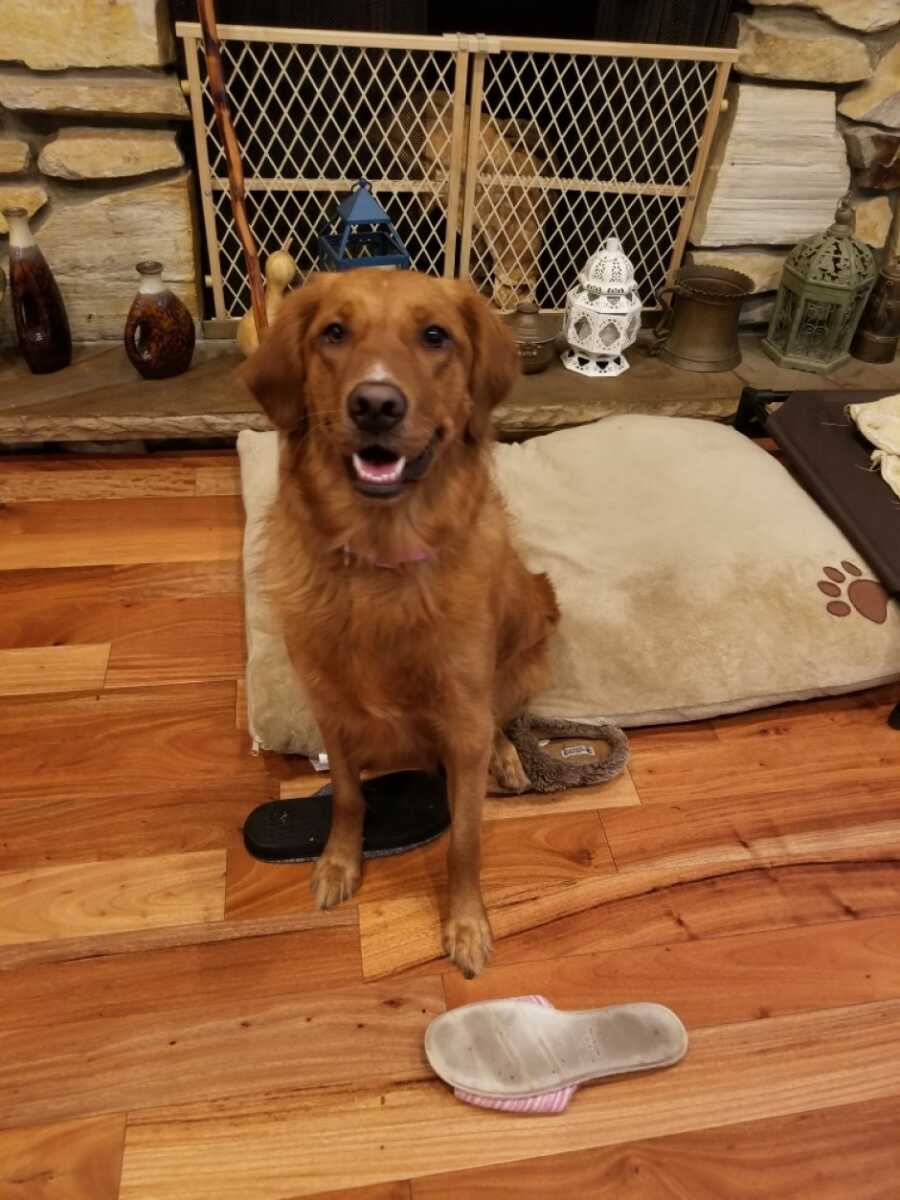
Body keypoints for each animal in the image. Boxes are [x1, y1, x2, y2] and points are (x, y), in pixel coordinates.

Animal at [243, 270, 561, 974]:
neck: (379, 565)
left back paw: (508, 757)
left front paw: (466, 924)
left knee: (506, 716)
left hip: (529, 646)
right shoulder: (331, 710)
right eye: (334, 332)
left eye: (435, 336)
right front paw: (339, 863)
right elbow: (349, 796)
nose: (376, 404)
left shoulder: (463, 724)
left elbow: (465, 840)